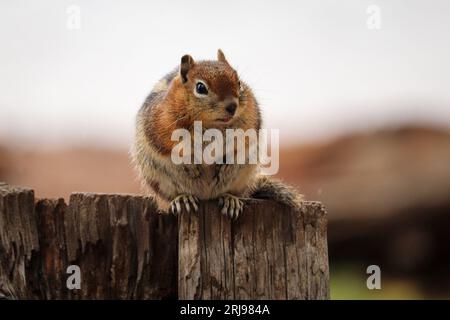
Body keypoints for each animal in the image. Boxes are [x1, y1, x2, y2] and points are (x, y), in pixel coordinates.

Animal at [131, 50, 302, 219]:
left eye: (239, 83)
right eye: (200, 88)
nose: (232, 106)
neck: (212, 124)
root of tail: (206, 196)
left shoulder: (249, 123)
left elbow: (241, 144)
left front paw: (225, 162)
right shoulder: (161, 124)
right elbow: (171, 147)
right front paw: (190, 164)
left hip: (243, 177)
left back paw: (230, 199)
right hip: (158, 178)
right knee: (175, 193)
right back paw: (183, 198)